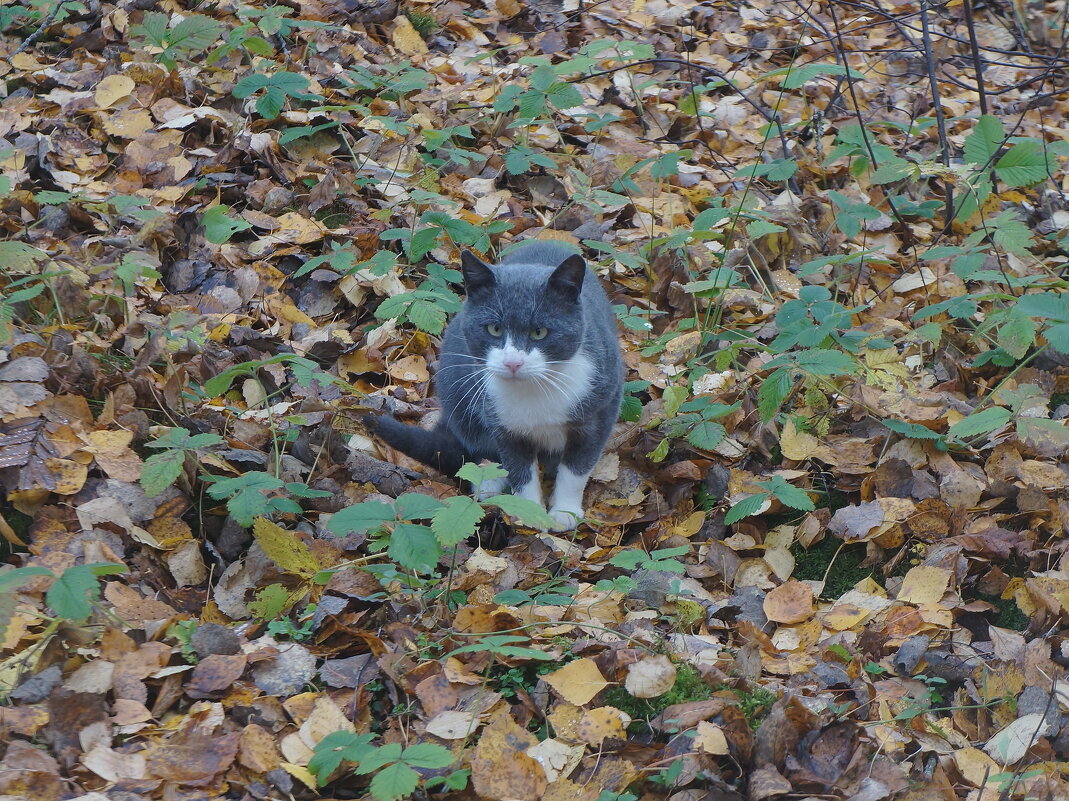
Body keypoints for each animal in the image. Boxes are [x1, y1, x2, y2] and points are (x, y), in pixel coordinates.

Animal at [365, 243, 624, 530]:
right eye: (494, 329)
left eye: (539, 332)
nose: (513, 362)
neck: (534, 390)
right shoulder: (502, 422)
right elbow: (518, 468)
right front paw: (530, 513)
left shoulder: (601, 408)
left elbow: (577, 467)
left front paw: (564, 513)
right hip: (458, 394)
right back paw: (488, 484)